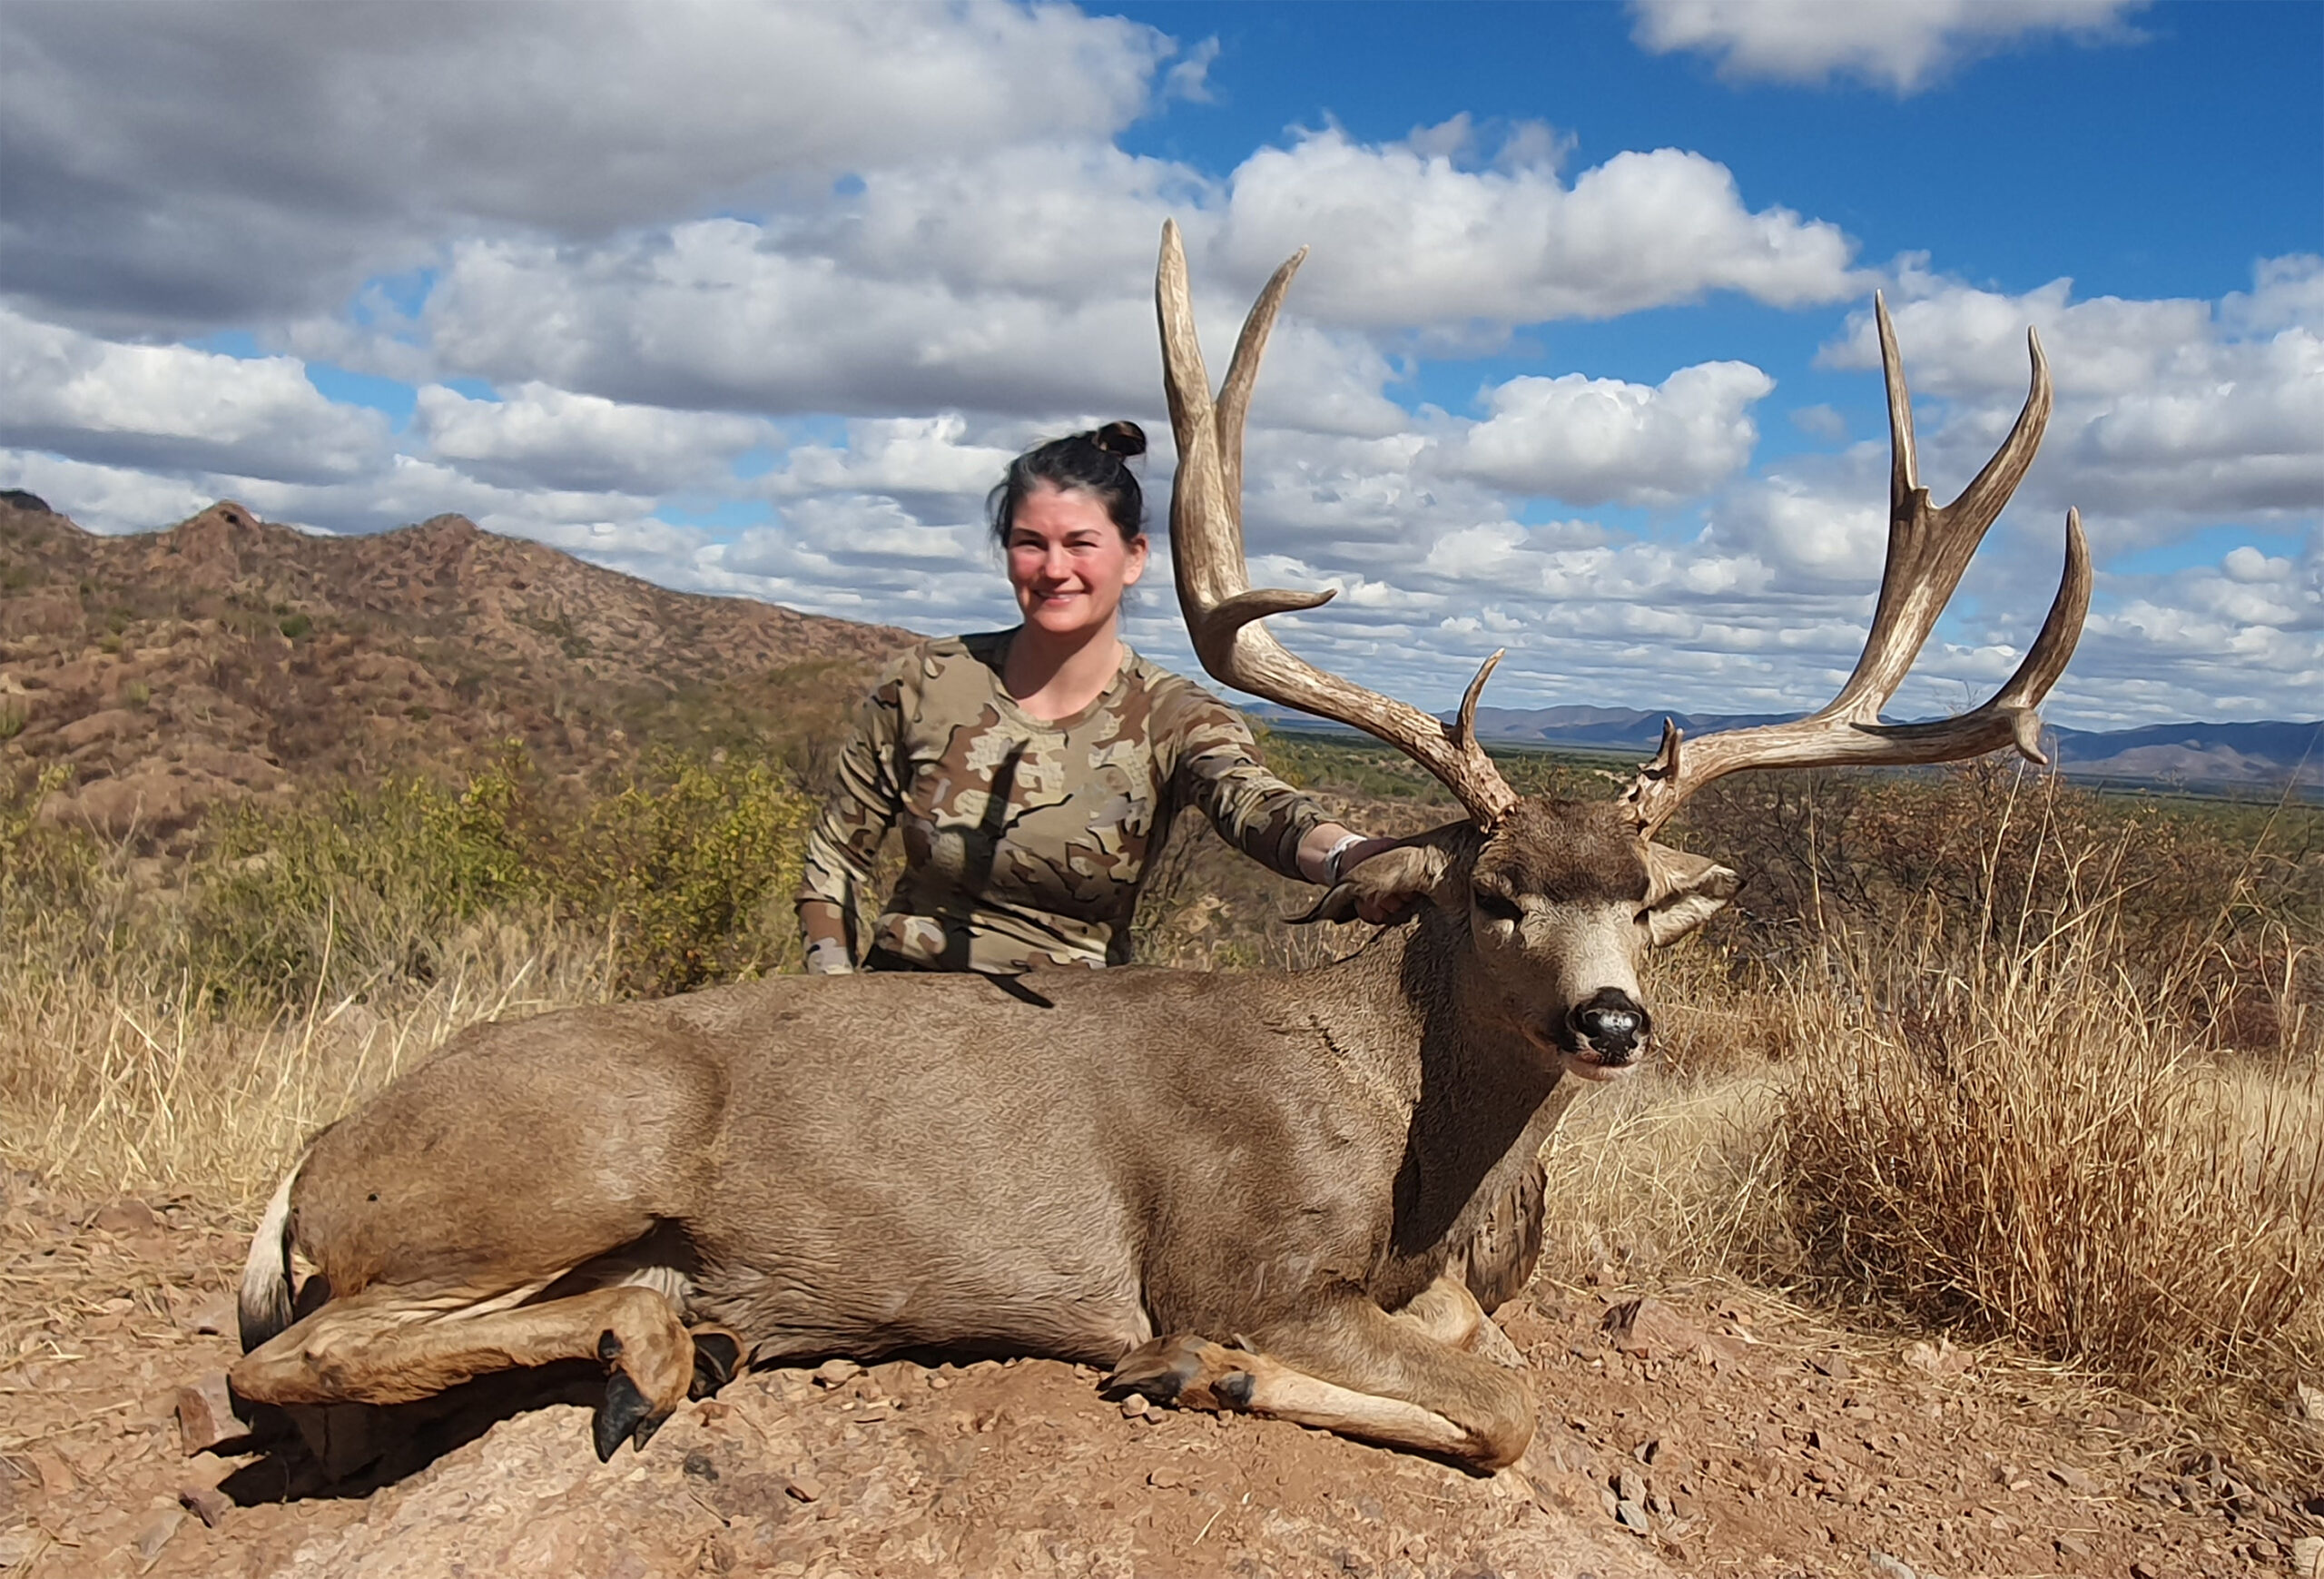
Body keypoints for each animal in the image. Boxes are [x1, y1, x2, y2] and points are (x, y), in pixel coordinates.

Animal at [229, 221, 2089, 1477]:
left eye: (1641, 901)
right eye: (1495, 896)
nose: (1614, 1021)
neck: (1413, 1153)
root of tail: (310, 1159)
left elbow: (1494, 1361)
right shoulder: (1233, 1250)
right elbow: (1499, 1402)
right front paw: (1203, 1372)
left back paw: (696, 1327)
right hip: (576, 1152)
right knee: (289, 1358)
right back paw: (656, 1338)